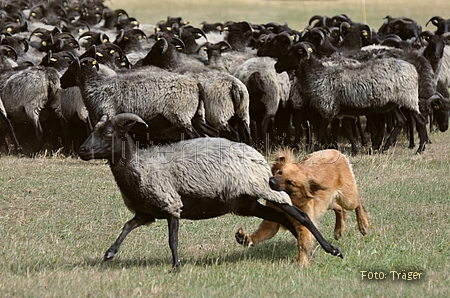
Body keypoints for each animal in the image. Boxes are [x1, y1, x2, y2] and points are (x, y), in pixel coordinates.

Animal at [78, 113, 344, 272]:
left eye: (108, 133)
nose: (81, 150)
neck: (139, 166)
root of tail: (257, 155)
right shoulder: (147, 212)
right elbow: (126, 226)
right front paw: (110, 253)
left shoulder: (171, 203)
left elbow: (172, 239)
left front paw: (176, 266)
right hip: (245, 204)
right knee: (282, 218)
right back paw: (303, 247)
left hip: (264, 189)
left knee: (300, 216)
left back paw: (331, 248)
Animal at [236, 148, 370, 266]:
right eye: (279, 172)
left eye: (289, 182)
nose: (271, 181)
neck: (292, 199)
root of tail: (336, 151)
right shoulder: (272, 223)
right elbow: (259, 234)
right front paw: (246, 238)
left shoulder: (304, 224)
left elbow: (303, 244)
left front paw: (302, 262)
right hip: (326, 202)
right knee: (339, 208)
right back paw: (339, 230)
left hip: (347, 199)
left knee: (358, 202)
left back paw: (363, 224)